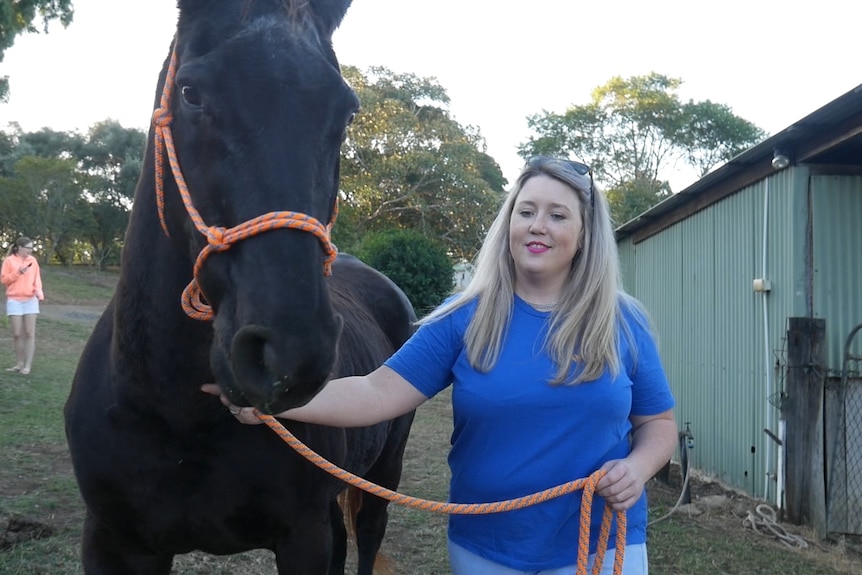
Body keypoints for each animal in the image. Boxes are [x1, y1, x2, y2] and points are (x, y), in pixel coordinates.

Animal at [66, 2, 416, 572]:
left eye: (346, 113)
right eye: (191, 92)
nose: (288, 353)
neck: (178, 414)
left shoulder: (305, 537)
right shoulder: (111, 540)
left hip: (381, 476)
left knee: (368, 536)